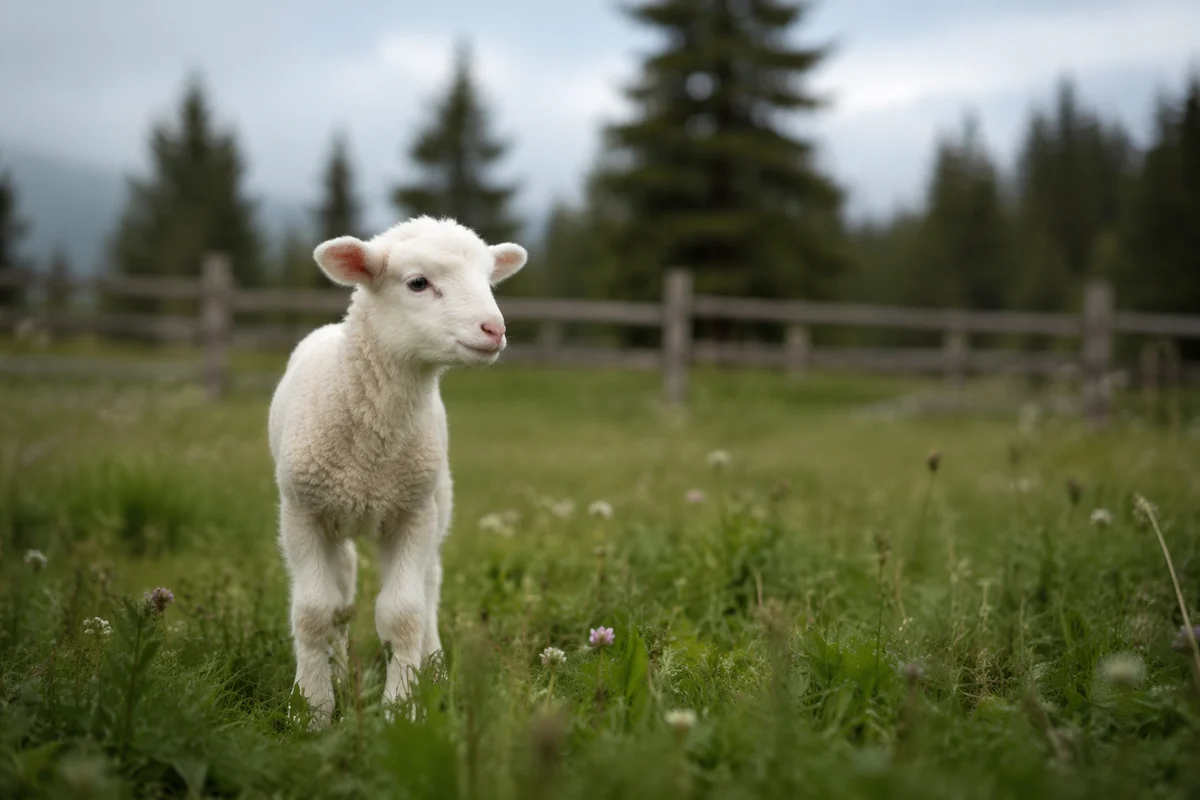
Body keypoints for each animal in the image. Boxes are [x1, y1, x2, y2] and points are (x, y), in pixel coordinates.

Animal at [267, 215, 527, 726]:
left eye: (488, 281)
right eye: (418, 283)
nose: (494, 329)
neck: (372, 451)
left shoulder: (413, 512)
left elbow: (403, 614)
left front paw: (402, 710)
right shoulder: (302, 512)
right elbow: (313, 612)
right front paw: (312, 708)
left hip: (434, 500)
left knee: (427, 588)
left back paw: (434, 666)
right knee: (343, 588)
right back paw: (337, 666)